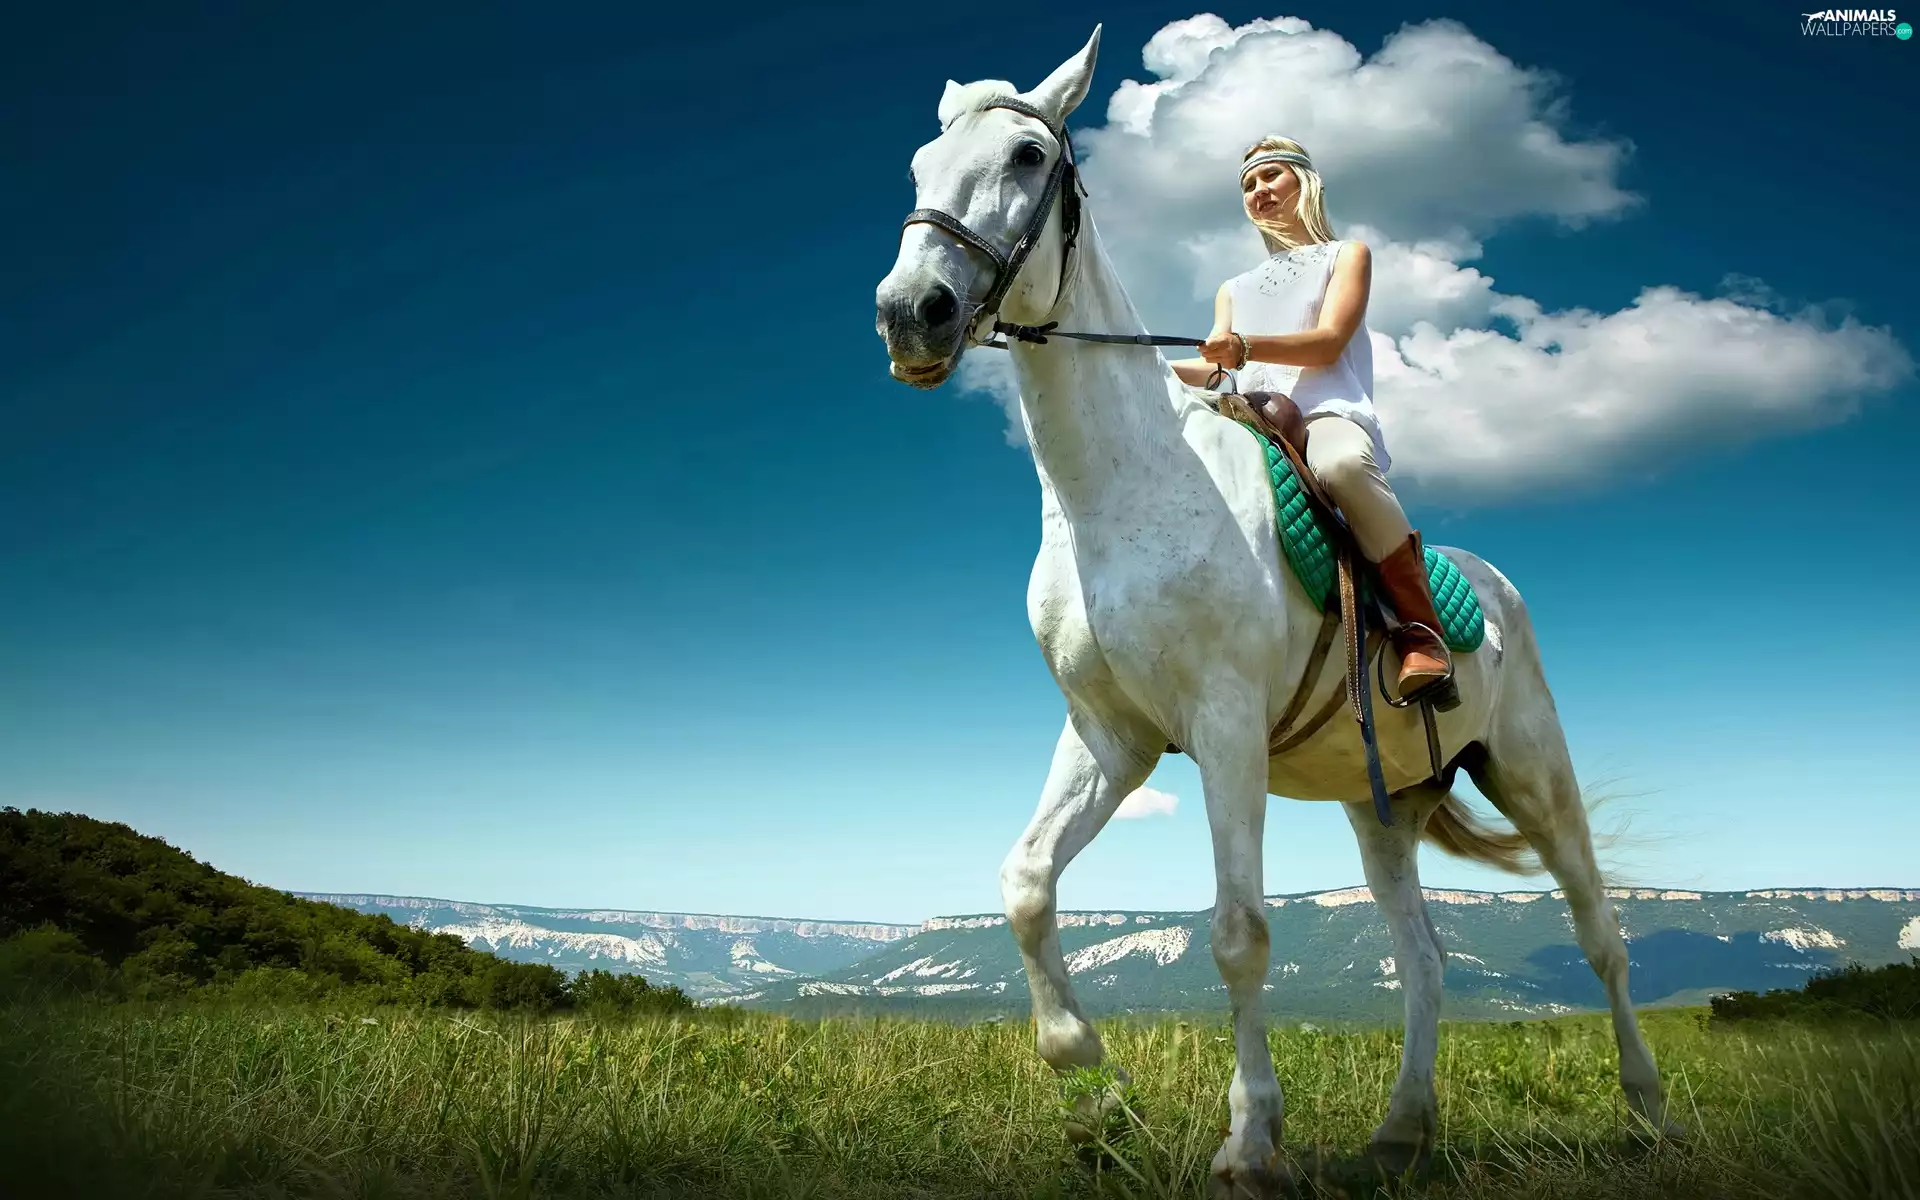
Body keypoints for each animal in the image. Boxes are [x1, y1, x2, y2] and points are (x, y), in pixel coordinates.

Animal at [874, 26, 1682, 1197]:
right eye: (918, 167)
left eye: (1028, 153)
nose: (911, 314)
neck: (1123, 491)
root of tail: (1493, 584)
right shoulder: (1111, 737)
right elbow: (1025, 885)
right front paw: (1094, 1092)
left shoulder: (1222, 730)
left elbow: (1239, 935)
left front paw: (1249, 1140)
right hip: (1381, 805)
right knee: (1424, 959)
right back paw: (1400, 1132)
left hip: (1534, 771)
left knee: (1601, 932)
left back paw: (1651, 1113)